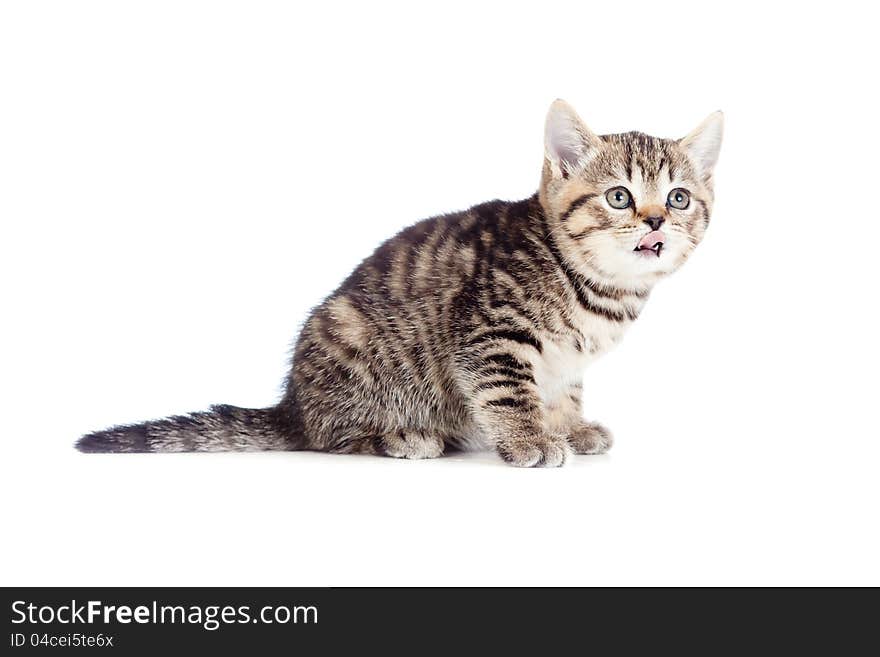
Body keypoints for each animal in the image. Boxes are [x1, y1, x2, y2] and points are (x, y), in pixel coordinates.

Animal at [77, 98, 720, 466]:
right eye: (620, 197)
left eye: (678, 198)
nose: (656, 220)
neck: (595, 285)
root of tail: (292, 406)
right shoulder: (488, 331)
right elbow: (509, 390)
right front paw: (530, 439)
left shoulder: (565, 361)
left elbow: (562, 391)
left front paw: (570, 427)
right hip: (347, 342)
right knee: (325, 437)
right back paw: (402, 438)